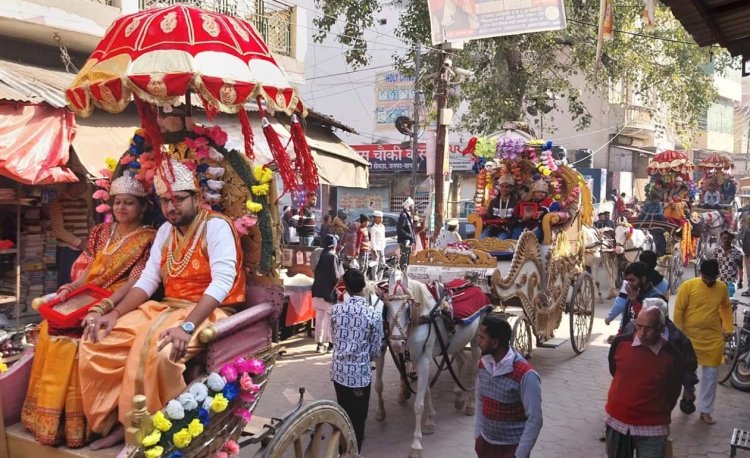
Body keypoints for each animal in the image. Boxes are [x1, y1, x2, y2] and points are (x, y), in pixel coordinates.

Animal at [382, 270, 494, 456]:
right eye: (387, 306)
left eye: (408, 307)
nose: (397, 344)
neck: (424, 316)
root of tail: (474, 285)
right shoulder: (418, 359)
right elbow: (426, 390)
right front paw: (430, 421)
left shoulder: (423, 360)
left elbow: (418, 404)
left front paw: (416, 444)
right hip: (455, 342)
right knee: (461, 361)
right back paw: (458, 397)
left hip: (477, 340)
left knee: (474, 368)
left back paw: (470, 403)